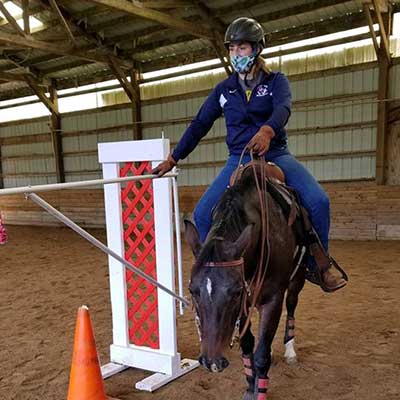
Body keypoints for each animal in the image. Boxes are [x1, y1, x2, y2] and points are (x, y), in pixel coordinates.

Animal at [184, 163, 306, 400]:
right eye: (192, 290)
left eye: (236, 292)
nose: (212, 362)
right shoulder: (245, 305)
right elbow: (249, 346)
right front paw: (250, 387)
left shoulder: (271, 298)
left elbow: (261, 354)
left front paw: (260, 390)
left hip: (297, 279)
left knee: (292, 305)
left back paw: (290, 351)